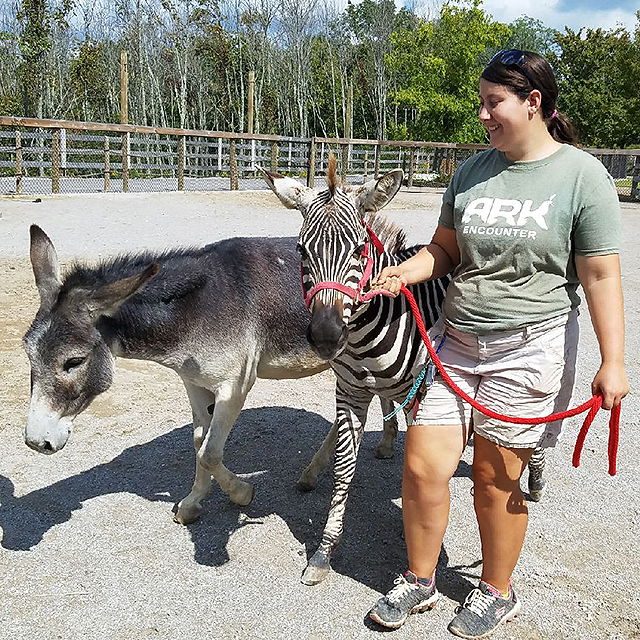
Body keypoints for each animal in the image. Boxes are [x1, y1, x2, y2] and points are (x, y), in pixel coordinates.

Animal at [258, 158, 548, 588]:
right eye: (300, 250)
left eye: (359, 249)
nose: (326, 336)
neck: (363, 333)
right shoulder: (349, 391)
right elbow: (344, 469)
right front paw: (324, 552)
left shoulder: (421, 393)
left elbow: (417, 460)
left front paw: (412, 526)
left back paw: (537, 478)